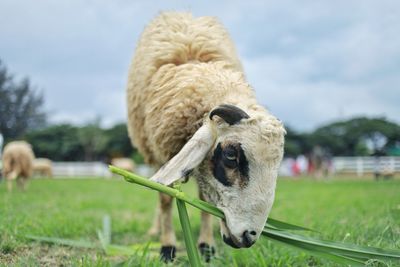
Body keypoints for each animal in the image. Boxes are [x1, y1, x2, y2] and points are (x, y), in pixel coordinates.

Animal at [126, 11, 286, 262]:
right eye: (231, 156)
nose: (249, 237)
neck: (194, 66)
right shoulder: (161, 148)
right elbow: (165, 197)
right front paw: (167, 248)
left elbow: (204, 200)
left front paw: (206, 246)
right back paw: (155, 231)